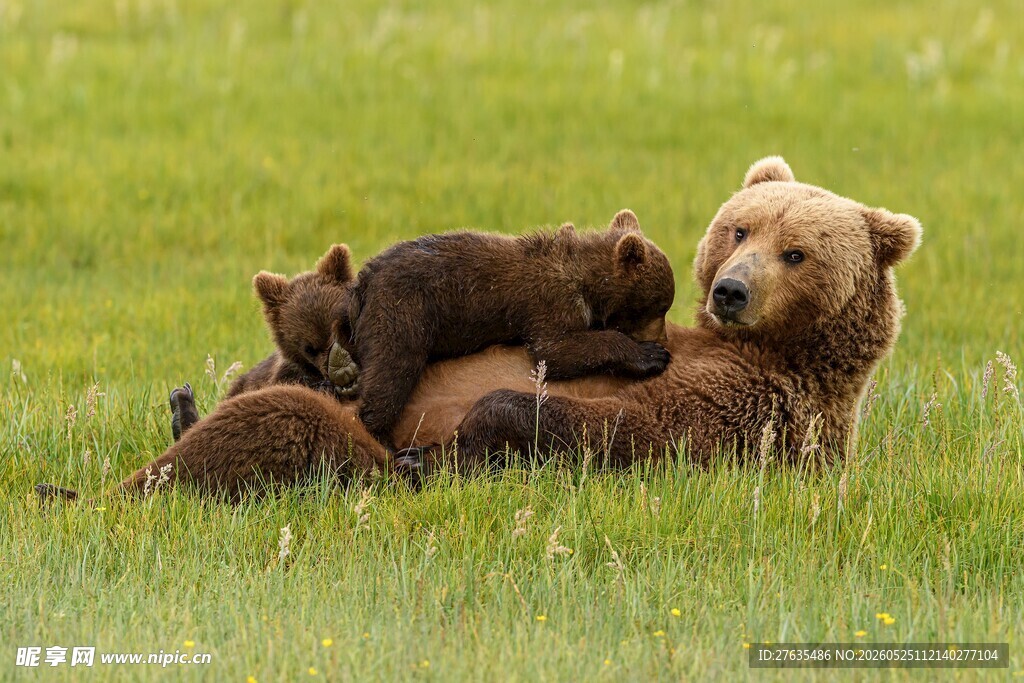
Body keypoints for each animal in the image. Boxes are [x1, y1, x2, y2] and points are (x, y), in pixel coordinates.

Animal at [329, 209, 676, 447]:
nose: (665, 339)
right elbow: (556, 352)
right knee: (391, 373)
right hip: (402, 313)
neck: (587, 281)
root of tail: (362, 284)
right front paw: (649, 355)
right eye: (660, 307)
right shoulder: (548, 302)